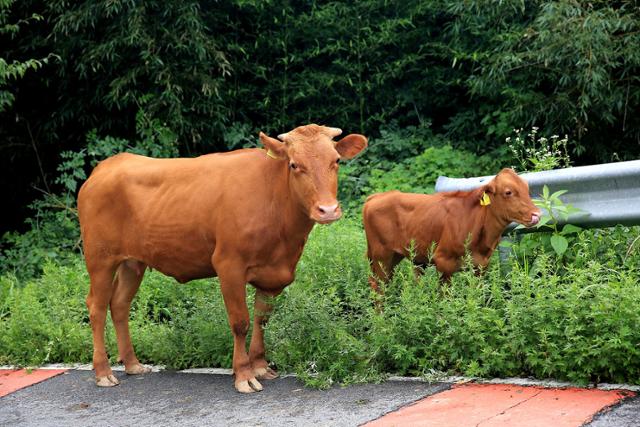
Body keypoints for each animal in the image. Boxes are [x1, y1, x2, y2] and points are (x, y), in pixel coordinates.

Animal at [77, 123, 368, 394]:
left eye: (336, 161)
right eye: (294, 165)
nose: (328, 210)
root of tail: (108, 165)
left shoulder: (274, 272)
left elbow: (262, 319)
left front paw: (260, 366)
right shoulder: (229, 265)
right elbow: (240, 322)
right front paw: (244, 374)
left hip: (133, 262)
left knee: (120, 304)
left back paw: (132, 364)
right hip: (100, 258)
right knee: (97, 307)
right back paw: (103, 372)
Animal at [364, 168, 540, 288]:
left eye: (527, 189)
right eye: (508, 192)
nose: (536, 214)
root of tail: (376, 196)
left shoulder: (481, 266)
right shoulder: (443, 263)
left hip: (395, 256)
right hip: (381, 255)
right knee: (377, 285)